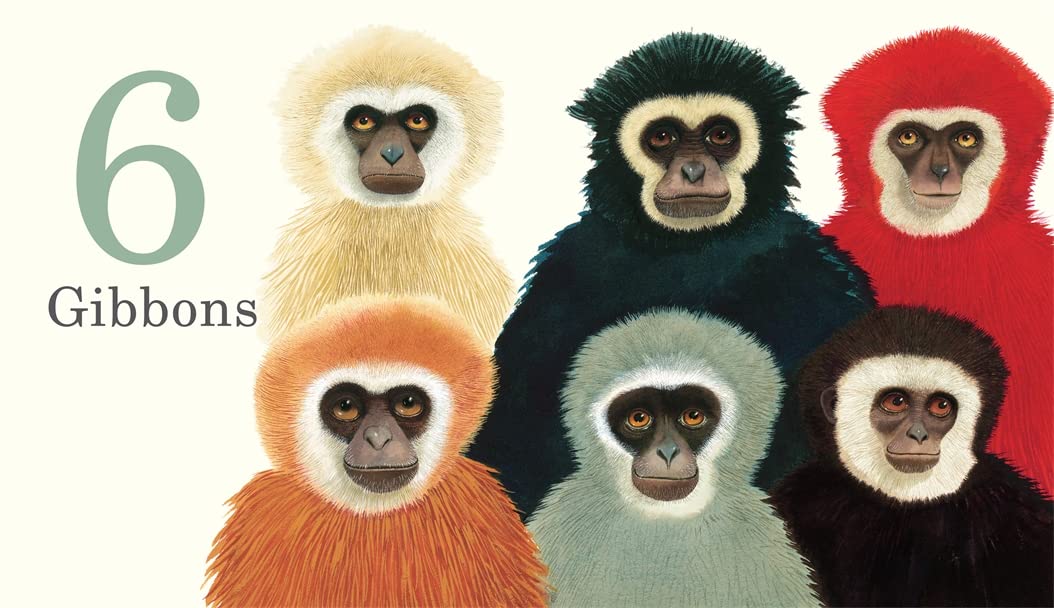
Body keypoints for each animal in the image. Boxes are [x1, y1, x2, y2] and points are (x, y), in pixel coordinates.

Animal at [467, 31, 875, 518]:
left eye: (721, 135)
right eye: (662, 137)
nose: (694, 169)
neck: (690, 250)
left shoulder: (818, 272)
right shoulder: (564, 268)